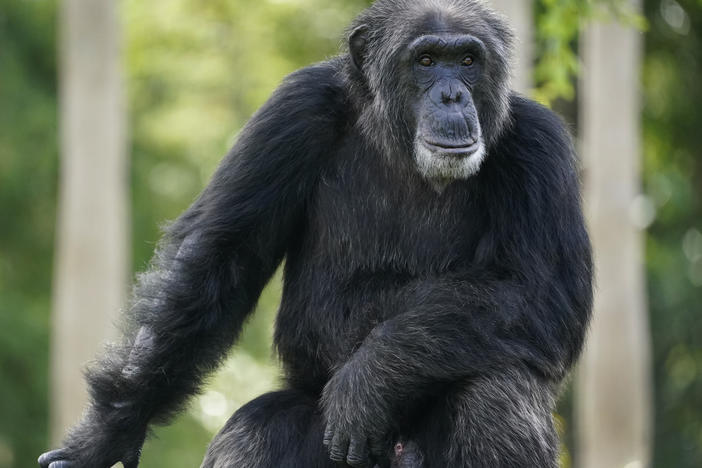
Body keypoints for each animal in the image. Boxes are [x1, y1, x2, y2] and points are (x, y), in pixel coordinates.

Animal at [40, 0, 592, 468]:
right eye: (427, 59)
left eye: (468, 59)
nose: (452, 93)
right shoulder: (291, 112)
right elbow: (216, 260)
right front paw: (107, 434)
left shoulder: (539, 146)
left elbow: (543, 292)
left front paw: (369, 380)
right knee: (254, 433)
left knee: (495, 395)